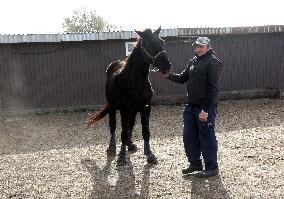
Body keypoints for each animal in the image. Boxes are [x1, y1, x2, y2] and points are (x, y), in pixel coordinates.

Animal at [86, 27, 171, 166]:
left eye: (162, 41)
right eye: (148, 43)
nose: (167, 66)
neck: (136, 81)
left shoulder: (145, 108)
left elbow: (145, 131)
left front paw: (149, 154)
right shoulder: (125, 109)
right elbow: (123, 132)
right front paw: (121, 156)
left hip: (133, 110)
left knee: (130, 125)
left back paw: (130, 145)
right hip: (112, 107)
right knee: (113, 126)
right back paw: (112, 148)